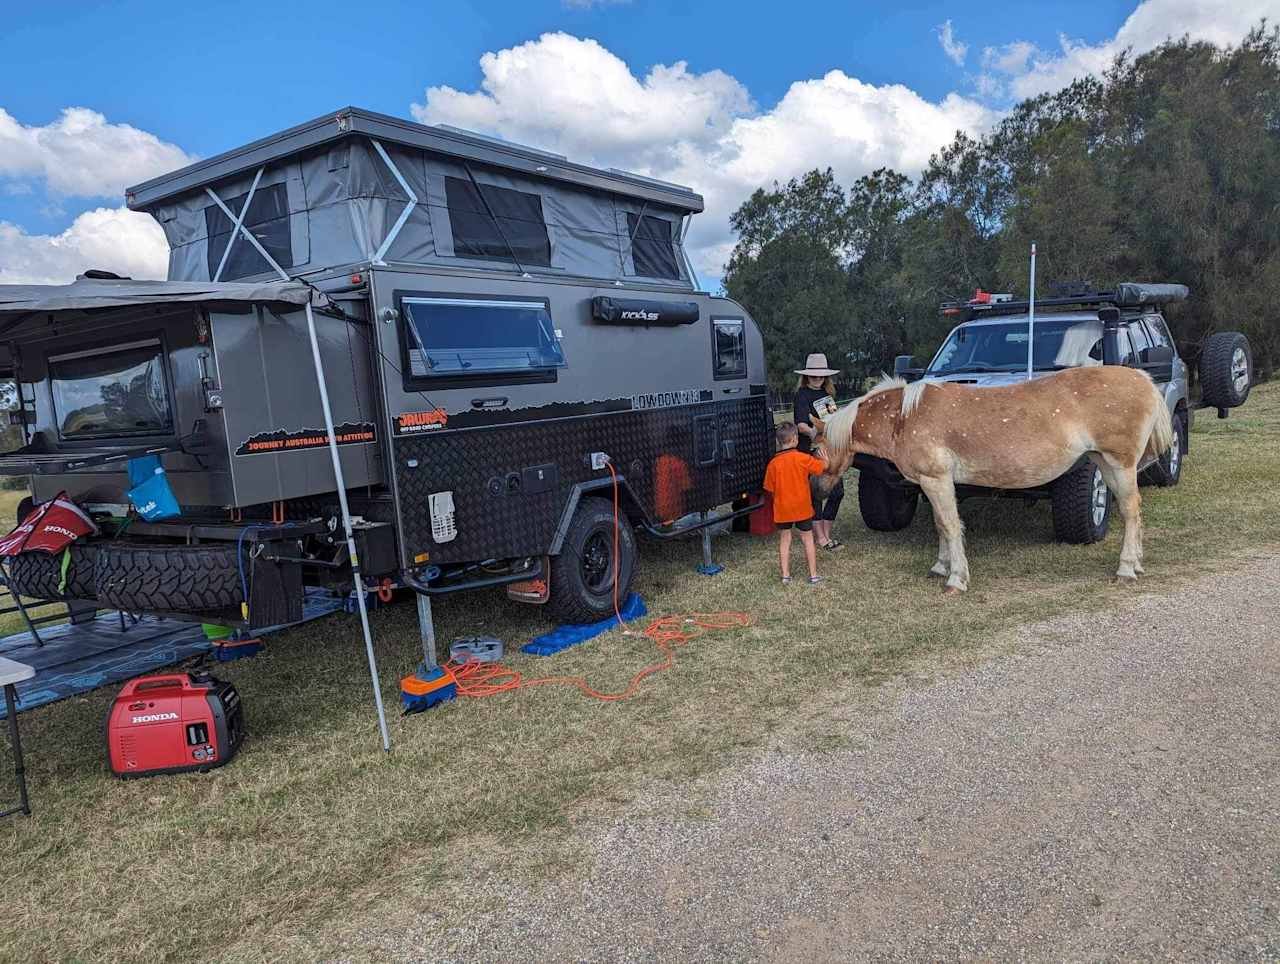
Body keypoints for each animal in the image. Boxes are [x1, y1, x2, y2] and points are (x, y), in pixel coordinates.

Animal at [824, 366, 1172, 591]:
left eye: (815, 450)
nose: (823, 490)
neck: (904, 417)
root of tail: (1143, 378)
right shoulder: (931, 483)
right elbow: (940, 525)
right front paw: (940, 566)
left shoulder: (936, 479)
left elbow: (950, 525)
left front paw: (956, 578)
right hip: (1106, 464)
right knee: (1133, 511)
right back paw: (1136, 563)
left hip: (1119, 464)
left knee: (1129, 511)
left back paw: (1125, 569)